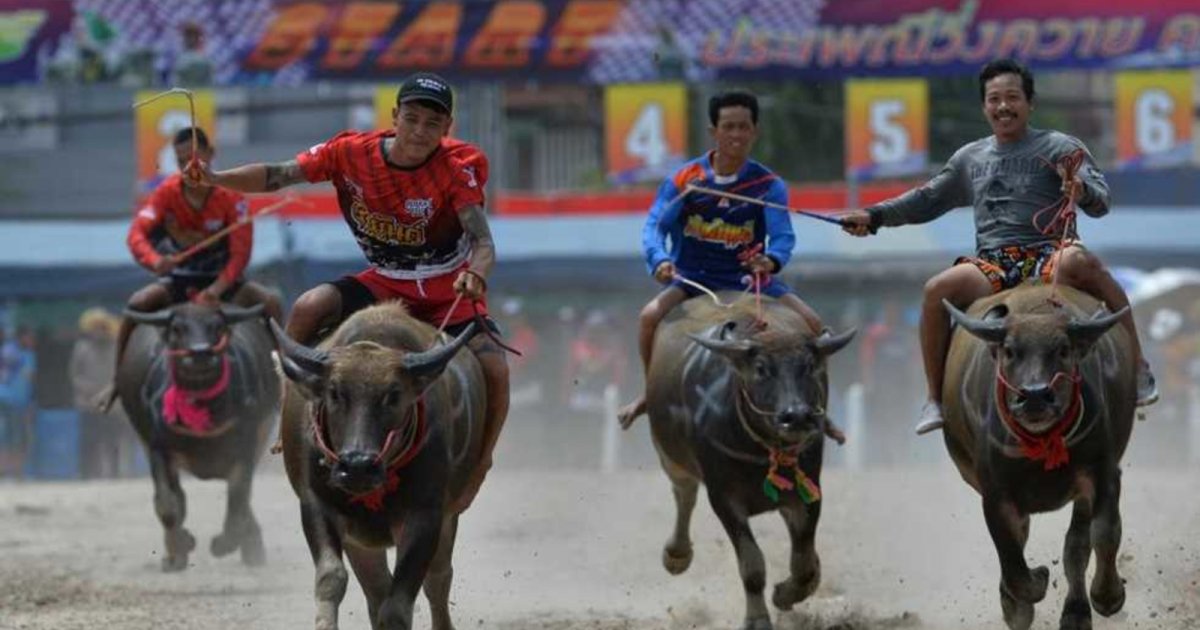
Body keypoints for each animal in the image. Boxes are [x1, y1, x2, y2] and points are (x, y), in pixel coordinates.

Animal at [115, 302, 278, 571]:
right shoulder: (157, 448)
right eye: (177, 328)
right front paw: (183, 544)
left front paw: (223, 544)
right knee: (176, 498)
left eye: (218, 327)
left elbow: (238, 500)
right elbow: (167, 504)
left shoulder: (246, 446)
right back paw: (175, 556)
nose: (200, 352)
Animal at [271, 302, 482, 624]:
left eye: (394, 395)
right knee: (377, 589)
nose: (357, 465)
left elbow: (398, 605)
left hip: (447, 517)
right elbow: (331, 578)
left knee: (437, 579)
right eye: (334, 392)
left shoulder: (426, 515)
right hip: (360, 539)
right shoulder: (316, 504)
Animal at [648, 296, 854, 628]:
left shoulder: (808, 491)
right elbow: (753, 565)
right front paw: (757, 618)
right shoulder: (724, 499)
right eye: (761, 368)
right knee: (684, 494)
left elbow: (803, 562)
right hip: (670, 457)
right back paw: (676, 554)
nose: (797, 416)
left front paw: (786, 593)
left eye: (810, 366)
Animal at [945, 285, 1132, 628]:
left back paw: (1076, 612)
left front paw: (1108, 596)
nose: (1034, 395)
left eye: (1063, 349)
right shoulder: (995, 495)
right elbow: (1012, 558)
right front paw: (1027, 595)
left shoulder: (1103, 473)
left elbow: (1104, 533)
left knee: (1076, 547)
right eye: (1009, 351)